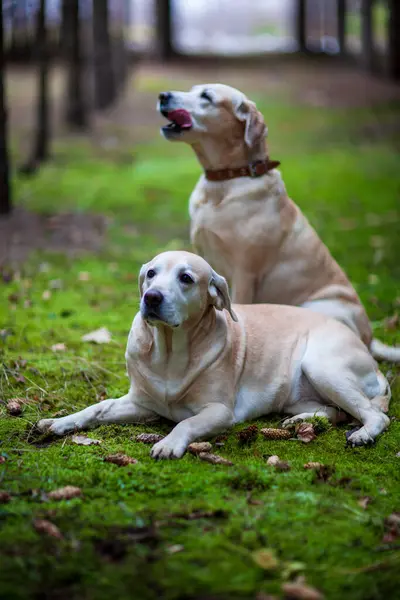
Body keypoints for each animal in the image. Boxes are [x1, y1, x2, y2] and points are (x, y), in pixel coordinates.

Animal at [37, 251, 390, 458]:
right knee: (335, 411)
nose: (151, 297)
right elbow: (96, 408)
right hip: (296, 392)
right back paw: (302, 420)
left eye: (186, 278)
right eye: (151, 274)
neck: (169, 351)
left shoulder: (220, 412)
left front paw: (168, 443)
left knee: (375, 414)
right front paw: (60, 421)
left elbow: (186, 423)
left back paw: (362, 434)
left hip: (322, 366)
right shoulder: (141, 403)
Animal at [156, 81, 400, 358]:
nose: (163, 95)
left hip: (318, 308)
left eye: (206, 96)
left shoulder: (244, 272)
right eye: (192, 89)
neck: (226, 179)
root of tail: (370, 341)